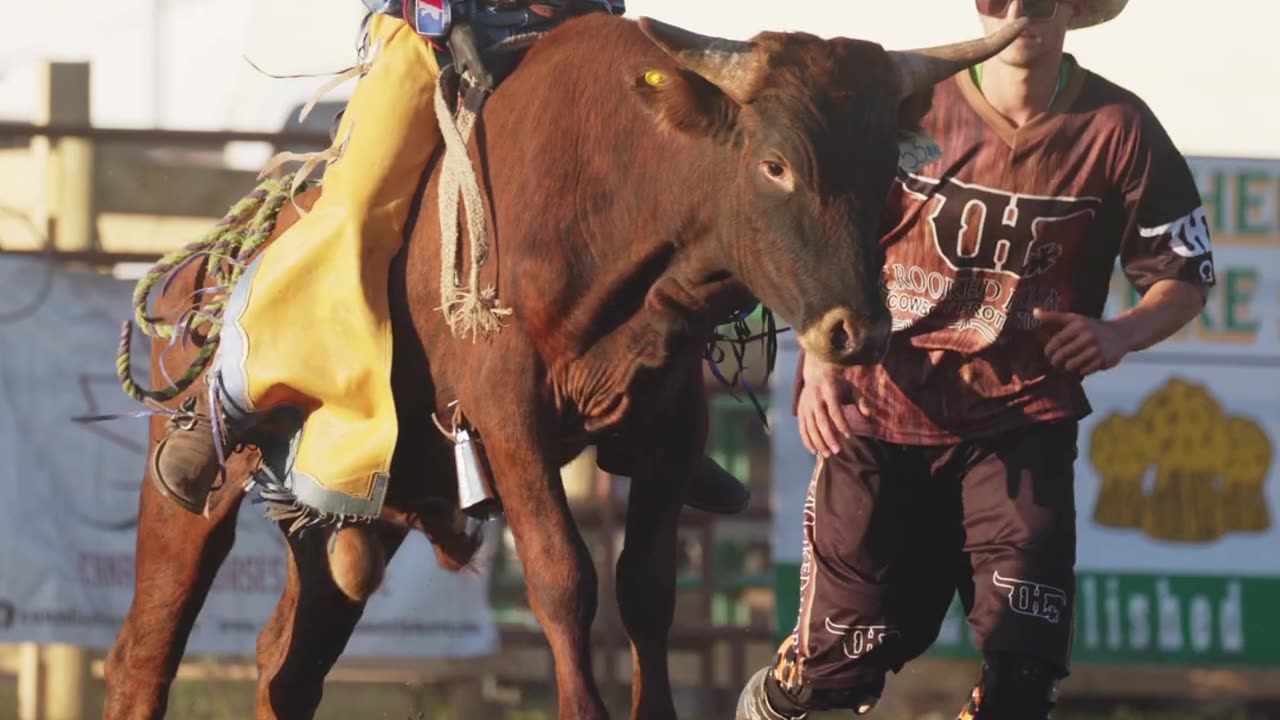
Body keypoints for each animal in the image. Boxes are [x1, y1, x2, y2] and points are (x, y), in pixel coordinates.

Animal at [102, 11, 1018, 717]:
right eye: (775, 164)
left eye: (885, 172)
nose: (855, 333)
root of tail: (209, 256)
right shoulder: (508, 420)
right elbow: (563, 577)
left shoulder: (671, 430)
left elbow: (645, 587)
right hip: (195, 498)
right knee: (147, 648)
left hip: (355, 507)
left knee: (285, 663)